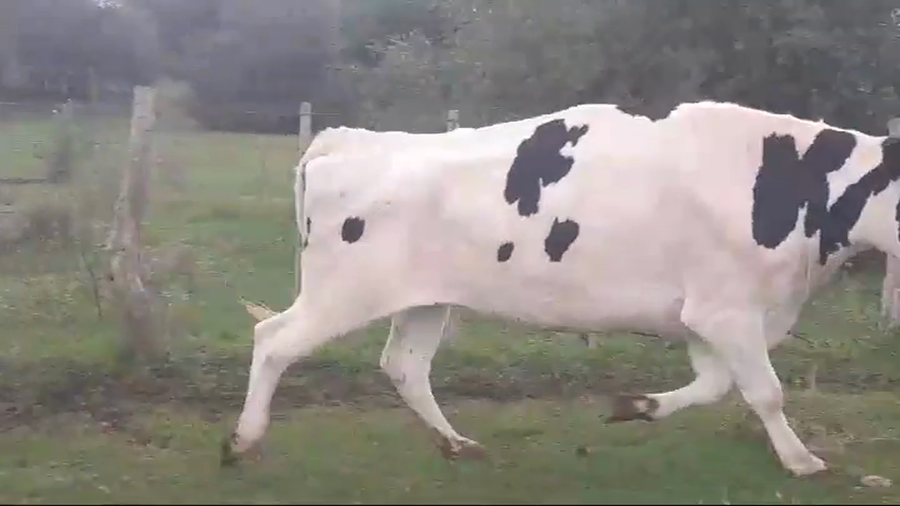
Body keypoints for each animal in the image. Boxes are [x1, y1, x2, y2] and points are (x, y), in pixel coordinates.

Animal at [221, 100, 900, 478]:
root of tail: (350, 138)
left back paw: (457, 443)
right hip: (343, 290)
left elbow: (714, 386)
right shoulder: (727, 311)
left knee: (404, 366)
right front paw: (801, 460)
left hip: (423, 300)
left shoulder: (706, 314)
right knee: (274, 339)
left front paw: (634, 407)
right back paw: (243, 442)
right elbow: (765, 392)